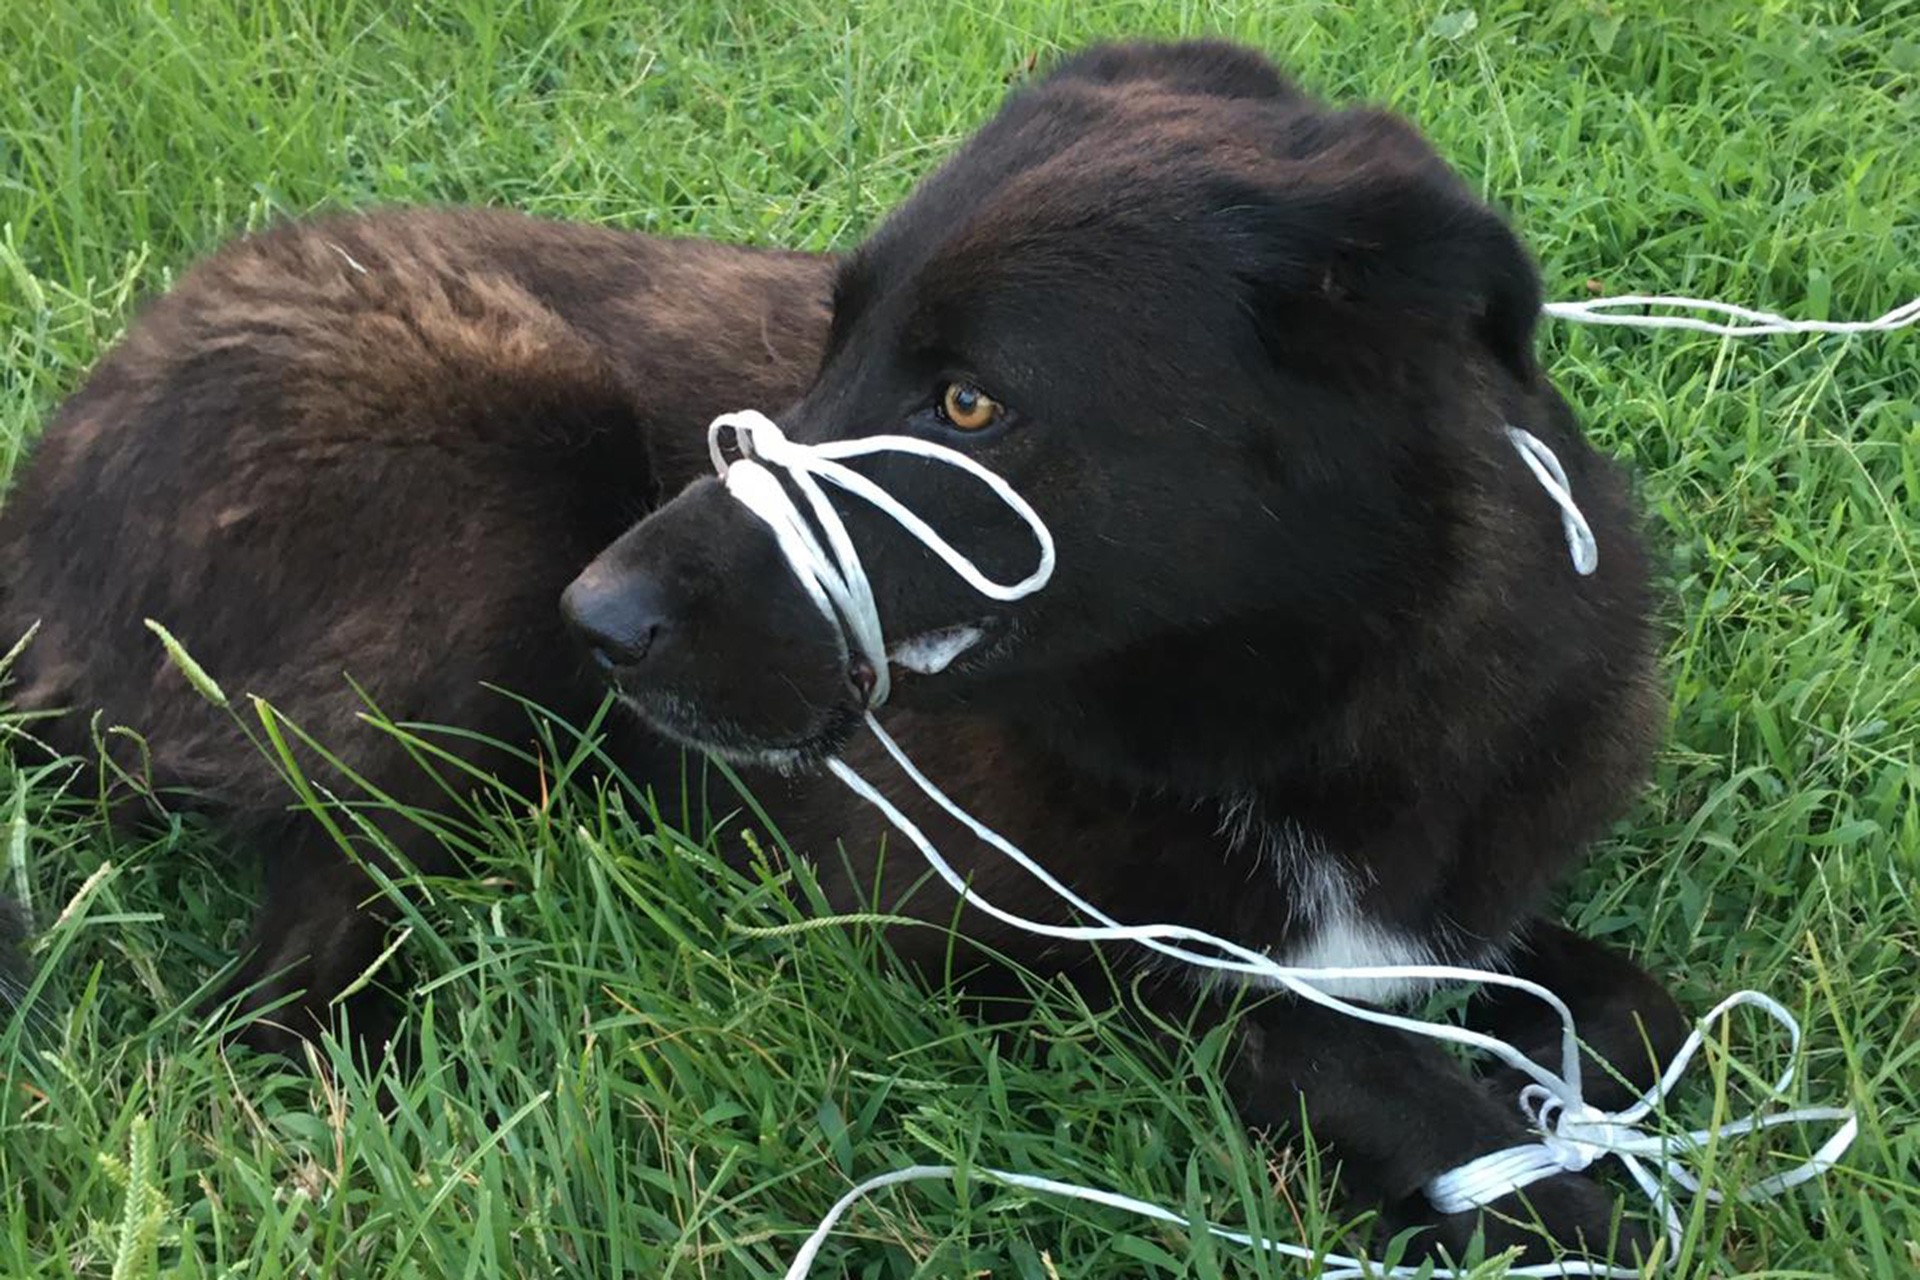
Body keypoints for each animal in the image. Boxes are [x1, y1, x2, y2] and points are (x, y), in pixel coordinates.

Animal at [0, 40, 1689, 1274]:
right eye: (829, 339)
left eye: (971, 406)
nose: (598, 618)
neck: (1300, 710)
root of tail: (34, 515)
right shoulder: (1006, 951)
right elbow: (1294, 1031)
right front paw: (1519, 1180)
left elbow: (1613, 997)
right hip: (496, 503)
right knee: (276, 988)